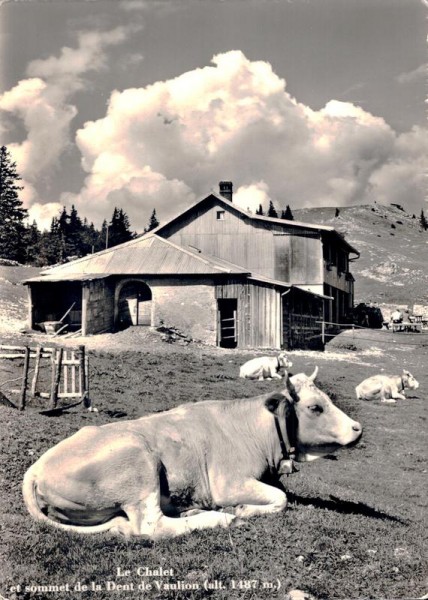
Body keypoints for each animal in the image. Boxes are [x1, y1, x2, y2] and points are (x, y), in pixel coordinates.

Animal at [22, 368, 362, 540]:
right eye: (315, 408)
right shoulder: (228, 483)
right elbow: (281, 499)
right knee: (151, 526)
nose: (357, 428)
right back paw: (220, 518)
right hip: (140, 465)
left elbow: (281, 494)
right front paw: (242, 510)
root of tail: (35, 469)